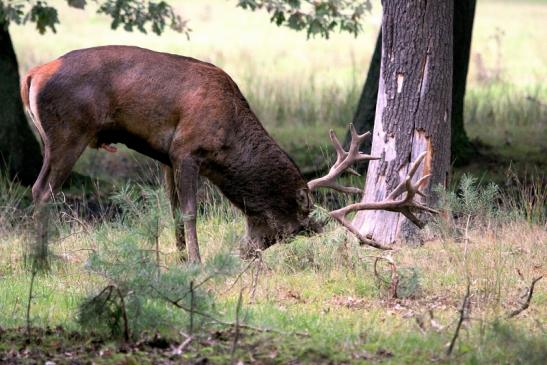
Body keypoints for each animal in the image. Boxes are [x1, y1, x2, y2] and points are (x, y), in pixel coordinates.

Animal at [20, 45, 436, 262]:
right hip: (68, 132)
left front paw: (180, 257)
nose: (247, 253)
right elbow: (190, 210)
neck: (229, 140)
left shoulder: (166, 156)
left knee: (38, 189)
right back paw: (41, 259)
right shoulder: (187, 149)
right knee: (42, 190)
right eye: (289, 231)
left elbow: (172, 208)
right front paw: (197, 262)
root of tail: (33, 74)